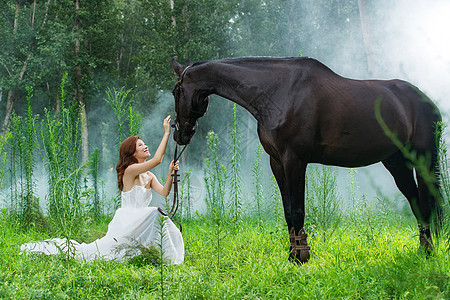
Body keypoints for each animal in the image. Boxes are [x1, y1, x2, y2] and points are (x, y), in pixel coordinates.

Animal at [171, 56, 442, 262]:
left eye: (176, 91)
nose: (180, 134)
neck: (277, 92)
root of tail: (426, 100)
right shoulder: (276, 162)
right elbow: (288, 211)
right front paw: (293, 254)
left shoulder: (295, 160)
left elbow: (298, 209)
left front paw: (301, 256)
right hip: (397, 163)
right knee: (416, 202)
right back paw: (423, 250)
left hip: (423, 160)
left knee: (425, 202)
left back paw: (428, 252)